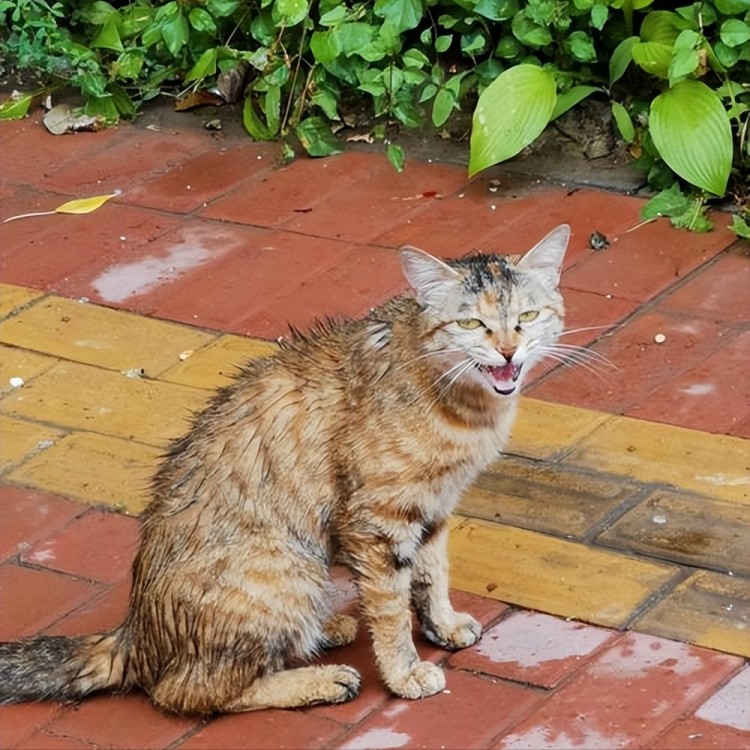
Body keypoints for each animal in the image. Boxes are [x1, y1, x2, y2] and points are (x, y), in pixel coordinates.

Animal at [0, 223, 568, 716]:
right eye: (471, 323)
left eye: (528, 316)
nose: (508, 350)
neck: (464, 406)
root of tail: (135, 634)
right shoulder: (376, 520)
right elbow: (390, 607)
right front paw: (404, 672)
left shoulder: (433, 506)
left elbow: (431, 575)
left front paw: (442, 625)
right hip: (287, 566)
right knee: (186, 691)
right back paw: (321, 678)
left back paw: (324, 632)